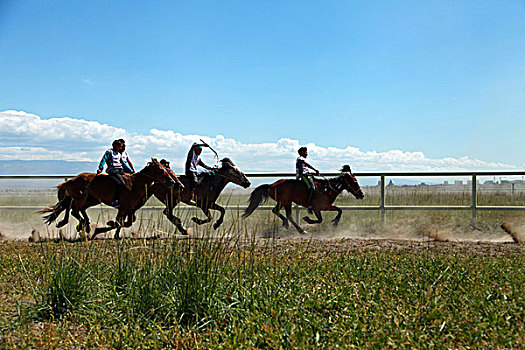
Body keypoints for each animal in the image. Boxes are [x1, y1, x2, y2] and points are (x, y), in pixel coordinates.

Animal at [39, 158, 178, 238]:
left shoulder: (128, 209)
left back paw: (82, 225)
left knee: (73, 208)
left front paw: (108, 229)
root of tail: (71, 180)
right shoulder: (124, 208)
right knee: (73, 210)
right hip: (82, 198)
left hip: (91, 199)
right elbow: (121, 222)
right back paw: (81, 225)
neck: (136, 183)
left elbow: (126, 222)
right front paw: (103, 228)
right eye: (162, 170)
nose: (173, 182)